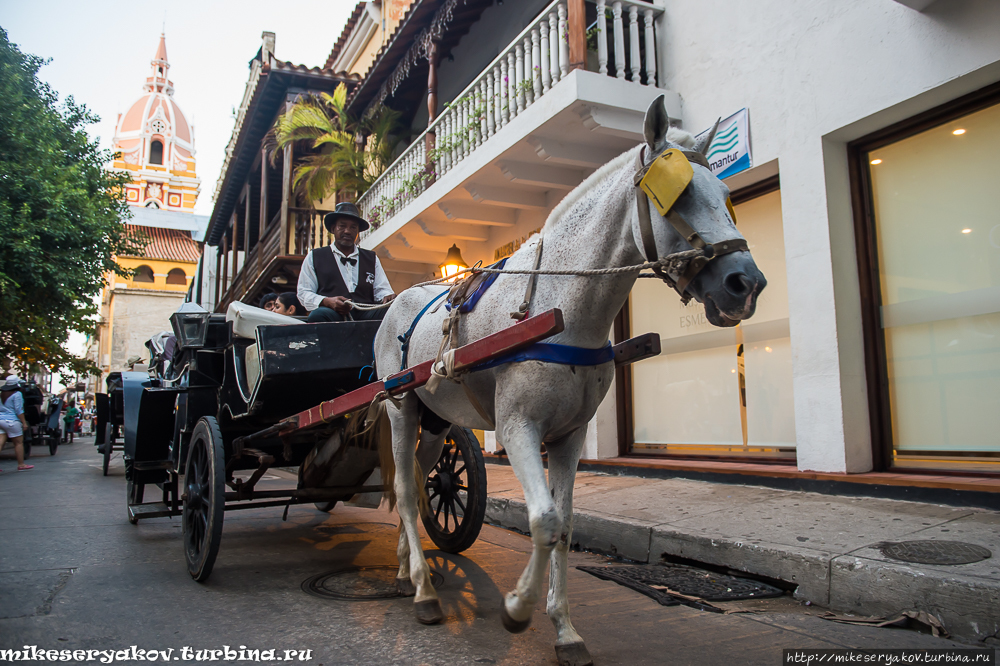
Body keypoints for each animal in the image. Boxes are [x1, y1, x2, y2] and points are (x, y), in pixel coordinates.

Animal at [374, 97, 764, 664]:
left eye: (727, 197)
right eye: (679, 194)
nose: (746, 283)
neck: (560, 308)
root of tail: (395, 303)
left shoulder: (570, 435)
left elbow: (566, 523)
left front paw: (564, 629)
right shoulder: (518, 428)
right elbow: (544, 520)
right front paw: (518, 608)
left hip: (435, 419)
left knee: (422, 483)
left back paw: (408, 568)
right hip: (400, 407)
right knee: (404, 491)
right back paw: (424, 591)